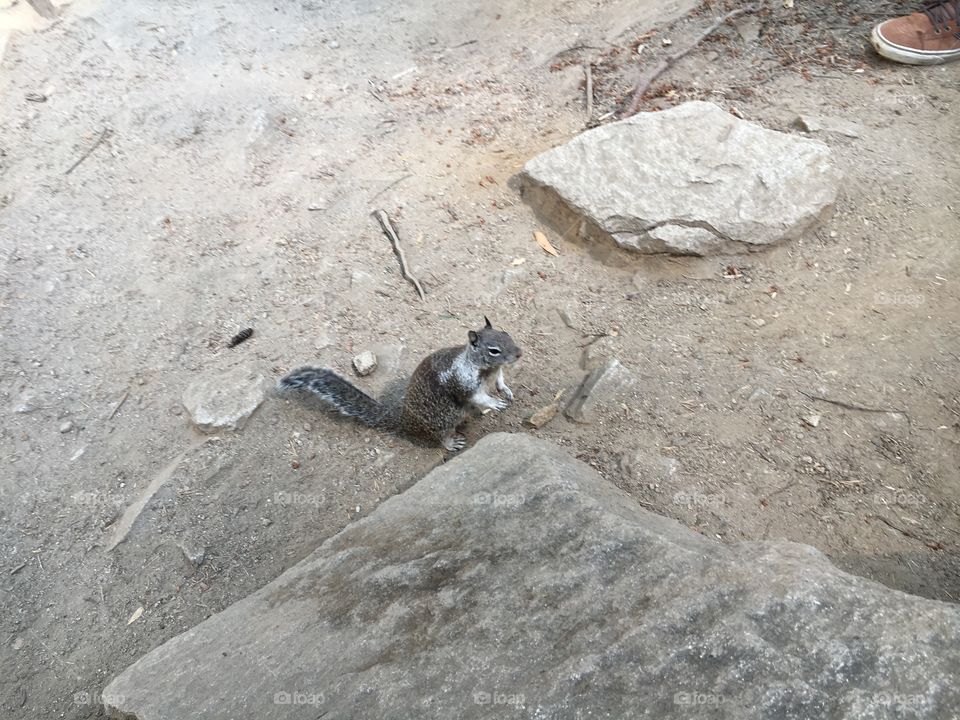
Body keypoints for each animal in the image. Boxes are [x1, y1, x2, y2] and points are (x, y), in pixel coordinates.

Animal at [278, 317, 522, 451]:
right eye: (493, 350)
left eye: (505, 333)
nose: (519, 353)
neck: (486, 368)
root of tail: (405, 421)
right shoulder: (464, 383)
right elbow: (478, 396)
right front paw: (495, 403)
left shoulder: (496, 373)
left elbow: (500, 381)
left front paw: (506, 391)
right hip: (443, 421)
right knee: (440, 438)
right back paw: (452, 443)